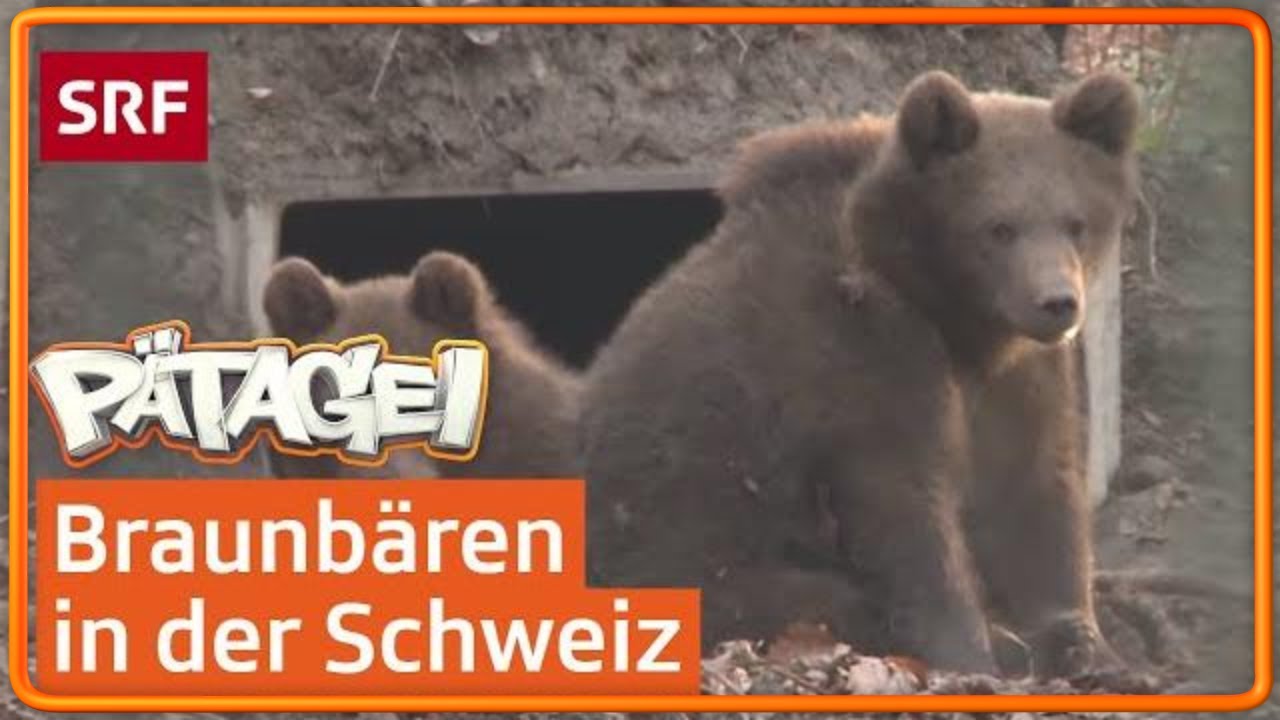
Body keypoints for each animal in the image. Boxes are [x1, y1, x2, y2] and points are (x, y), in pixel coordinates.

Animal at [579, 70, 1139, 675]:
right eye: (999, 227)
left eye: (1075, 222)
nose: (1057, 302)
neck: (951, 314)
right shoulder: (864, 352)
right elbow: (903, 504)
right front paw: (970, 652)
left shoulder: (1015, 376)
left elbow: (1033, 488)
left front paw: (1086, 642)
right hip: (687, 552)